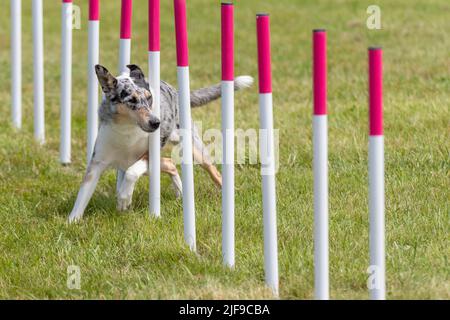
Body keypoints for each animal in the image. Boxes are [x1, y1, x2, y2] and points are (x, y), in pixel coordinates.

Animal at [69, 63, 255, 221]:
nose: (156, 122)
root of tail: (176, 92)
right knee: (170, 164)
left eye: (149, 97)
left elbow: (131, 173)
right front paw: (72, 221)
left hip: (196, 151)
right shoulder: (97, 162)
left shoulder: (147, 156)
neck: (127, 129)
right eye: (132, 100)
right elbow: (82, 194)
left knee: (215, 173)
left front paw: (123, 199)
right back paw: (181, 193)